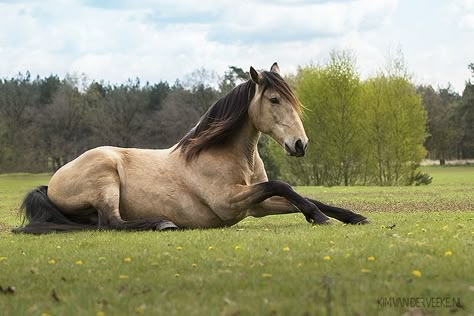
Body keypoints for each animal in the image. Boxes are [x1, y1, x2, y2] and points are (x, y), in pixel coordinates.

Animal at [12, 63, 368, 235]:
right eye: (274, 99)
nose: (300, 145)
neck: (222, 153)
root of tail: (53, 182)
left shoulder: (256, 205)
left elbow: (301, 195)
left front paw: (352, 216)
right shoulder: (229, 202)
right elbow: (283, 185)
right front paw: (319, 218)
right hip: (105, 177)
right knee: (112, 222)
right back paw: (162, 224)